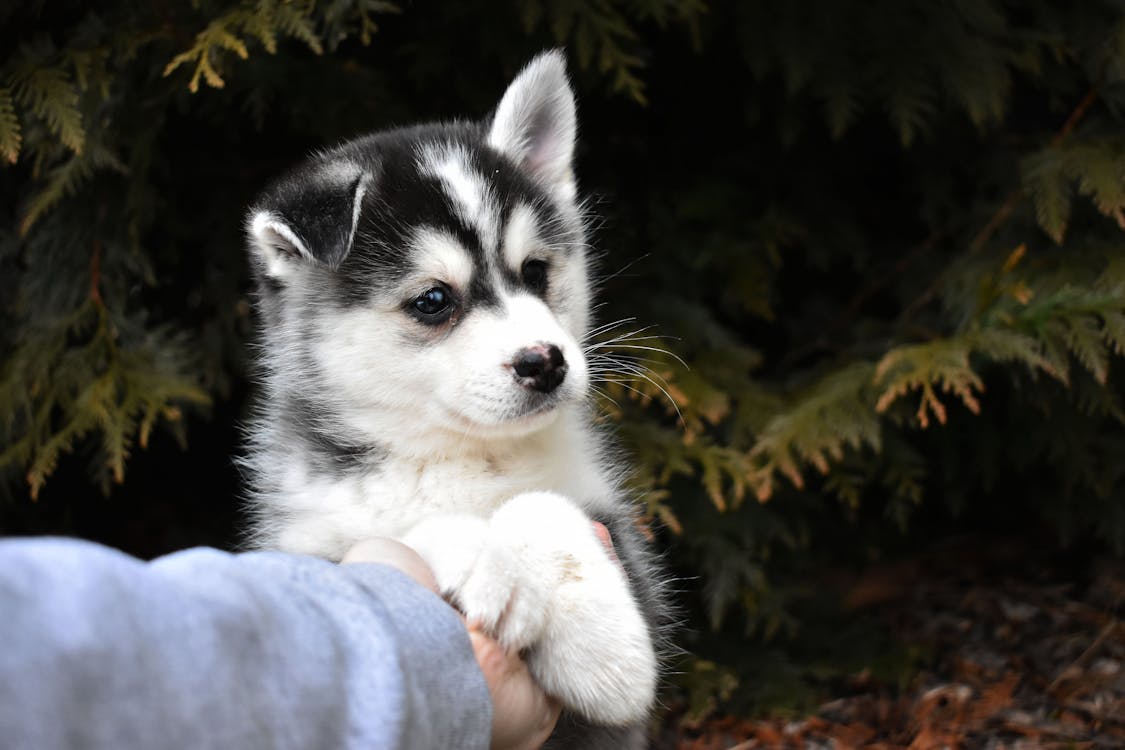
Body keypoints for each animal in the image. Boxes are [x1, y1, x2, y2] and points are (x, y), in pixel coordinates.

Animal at [244, 51, 666, 746]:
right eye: (434, 300)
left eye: (535, 272)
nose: (545, 364)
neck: (461, 457)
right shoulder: (306, 547)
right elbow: (406, 534)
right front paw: (483, 559)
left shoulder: (618, 535)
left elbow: (543, 504)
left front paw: (602, 649)